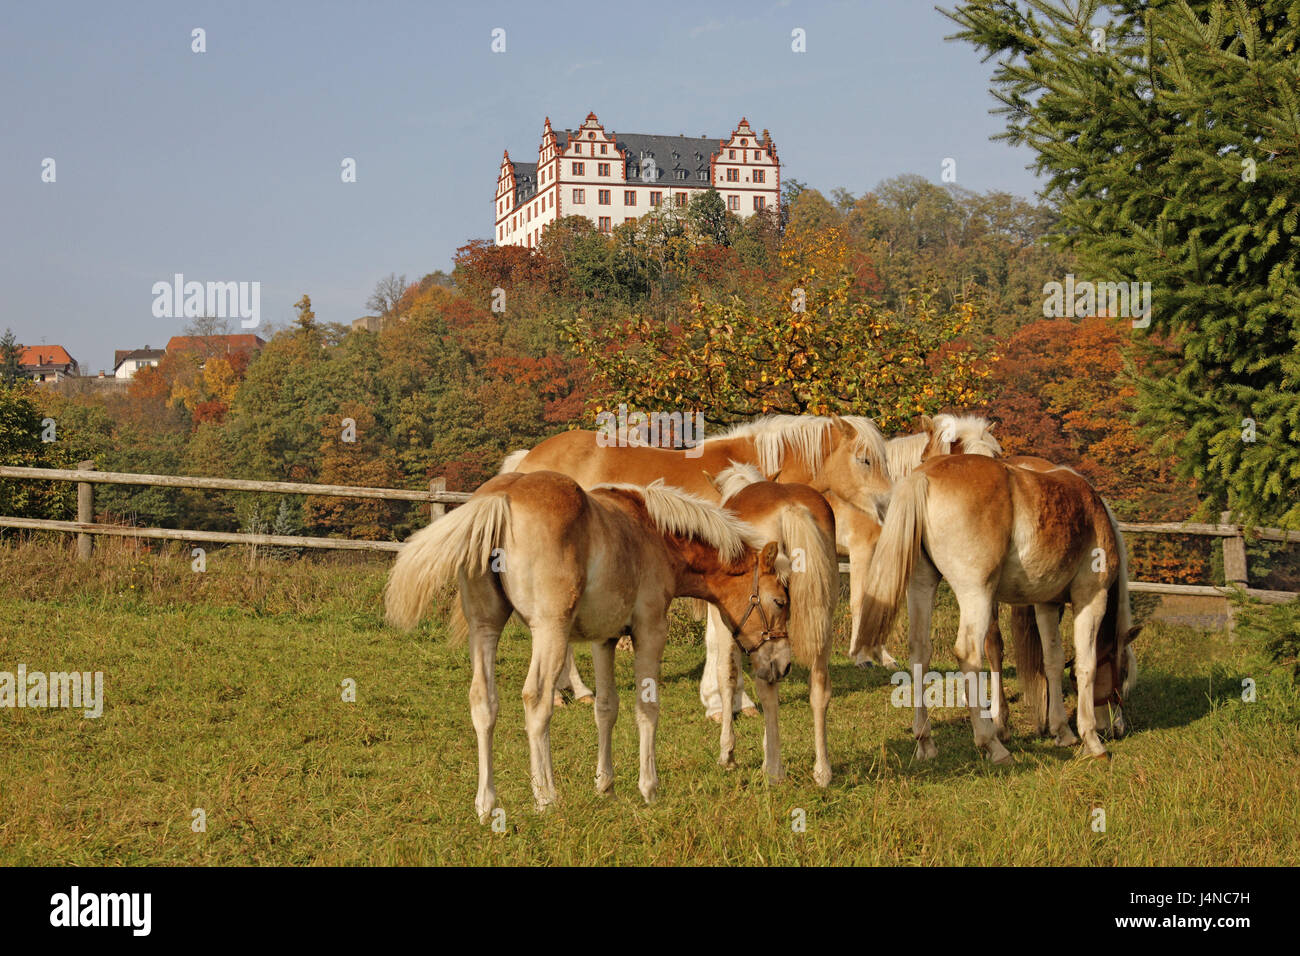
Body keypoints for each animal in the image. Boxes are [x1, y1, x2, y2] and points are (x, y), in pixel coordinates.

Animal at [382, 470, 790, 822]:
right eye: (781, 601)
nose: (782, 665)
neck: (652, 532)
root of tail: (503, 496)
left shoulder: (604, 640)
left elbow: (606, 709)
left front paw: (605, 786)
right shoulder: (650, 632)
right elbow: (647, 708)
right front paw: (649, 788)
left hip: (485, 628)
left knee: (484, 703)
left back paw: (486, 804)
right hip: (550, 631)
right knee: (537, 701)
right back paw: (546, 797)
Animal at [707, 463, 837, 785]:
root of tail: (790, 507)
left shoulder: (727, 620)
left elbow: (726, 676)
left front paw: (728, 753)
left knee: (767, 685)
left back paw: (773, 769)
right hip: (823, 613)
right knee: (819, 685)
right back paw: (822, 770)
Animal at [852, 455, 1138, 764]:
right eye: (1122, 673)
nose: (1117, 728)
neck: (1090, 510)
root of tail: (925, 475)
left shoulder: (1046, 604)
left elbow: (1052, 660)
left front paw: (1062, 730)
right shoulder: (1091, 597)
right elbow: (1086, 664)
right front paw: (1091, 740)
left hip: (921, 584)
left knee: (920, 652)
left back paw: (925, 741)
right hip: (976, 594)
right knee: (969, 655)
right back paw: (993, 745)